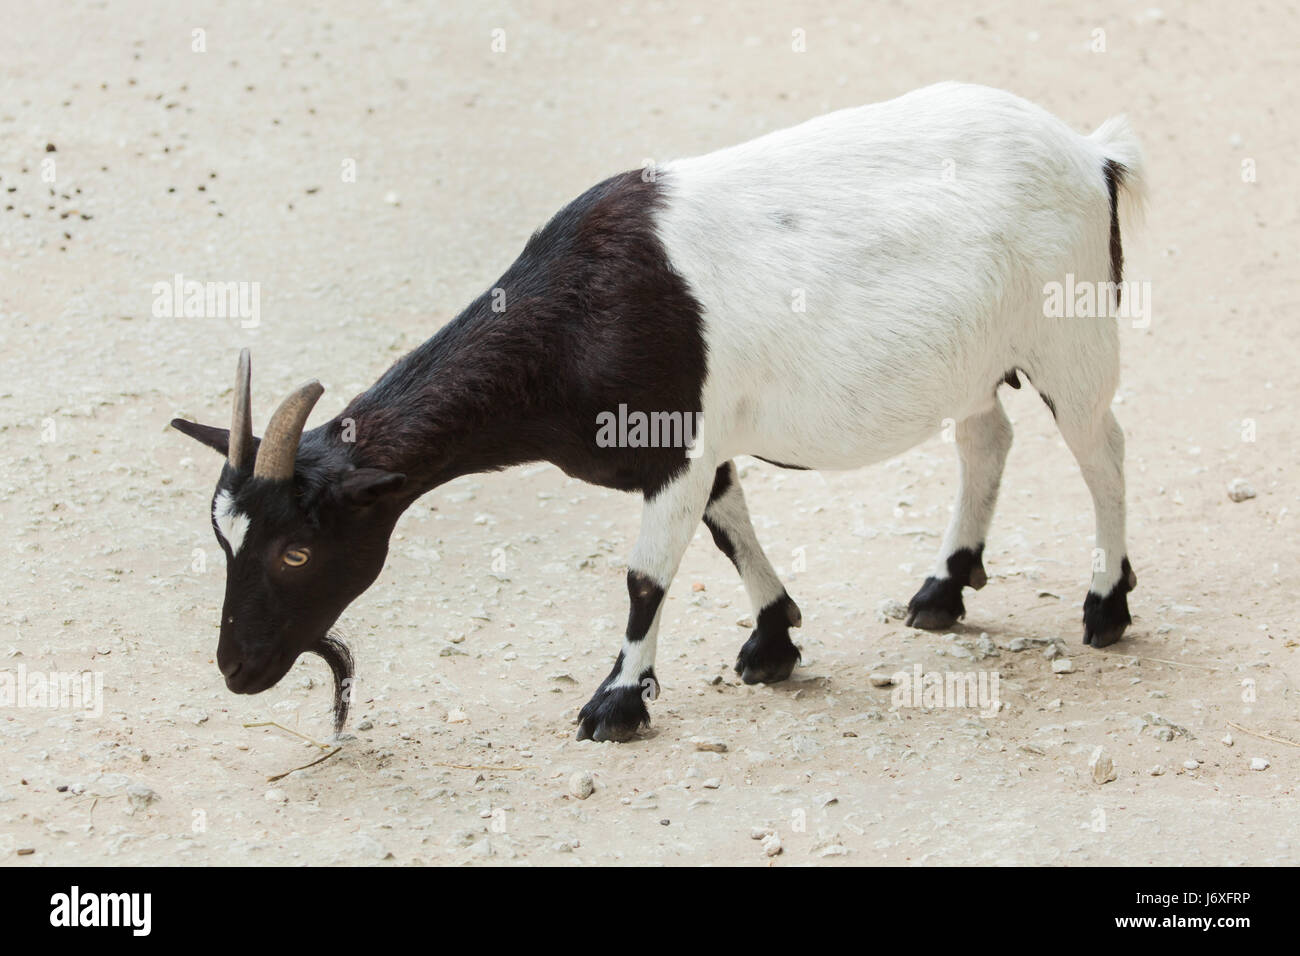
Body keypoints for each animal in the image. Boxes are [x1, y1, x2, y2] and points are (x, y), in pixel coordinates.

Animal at [172, 83, 1149, 738]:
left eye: (298, 550)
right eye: (223, 540)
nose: (237, 669)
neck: (574, 318)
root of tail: (1092, 153)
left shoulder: (675, 445)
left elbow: (646, 577)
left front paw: (615, 703)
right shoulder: (695, 450)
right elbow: (728, 527)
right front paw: (773, 640)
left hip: (1070, 336)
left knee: (1103, 450)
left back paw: (1106, 606)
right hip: (975, 357)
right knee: (987, 436)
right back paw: (944, 587)